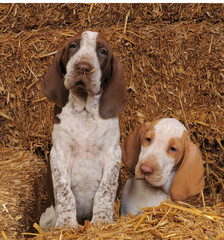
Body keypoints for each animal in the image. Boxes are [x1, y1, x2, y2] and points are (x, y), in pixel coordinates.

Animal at [39, 31, 127, 228]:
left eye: (102, 51)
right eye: (73, 46)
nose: (83, 67)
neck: (85, 111)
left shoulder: (112, 153)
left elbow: (105, 190)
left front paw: (102, 221)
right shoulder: (59, 153)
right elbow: (64, 192)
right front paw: (65, 225)